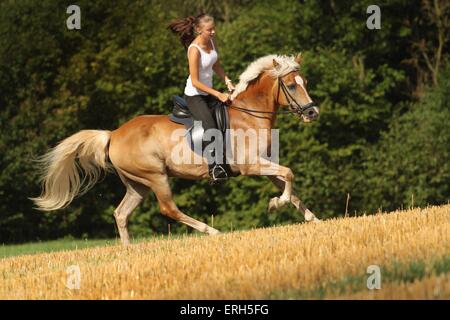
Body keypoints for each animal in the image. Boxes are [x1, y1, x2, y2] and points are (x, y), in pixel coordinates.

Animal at [30, 53, 320, 246]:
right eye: (291, 85)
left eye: (305, 81)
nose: (313, 113)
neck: (249, 114)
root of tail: (113, 135)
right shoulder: (251, 165)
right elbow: (289, 174)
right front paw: (275, 205)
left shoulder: (264, 164)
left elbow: (289, 186)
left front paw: (313, 220)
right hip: (156, 176)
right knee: (168, 209)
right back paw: (212, 231)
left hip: (138, 184)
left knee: (121, 213)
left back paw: (128, 251)